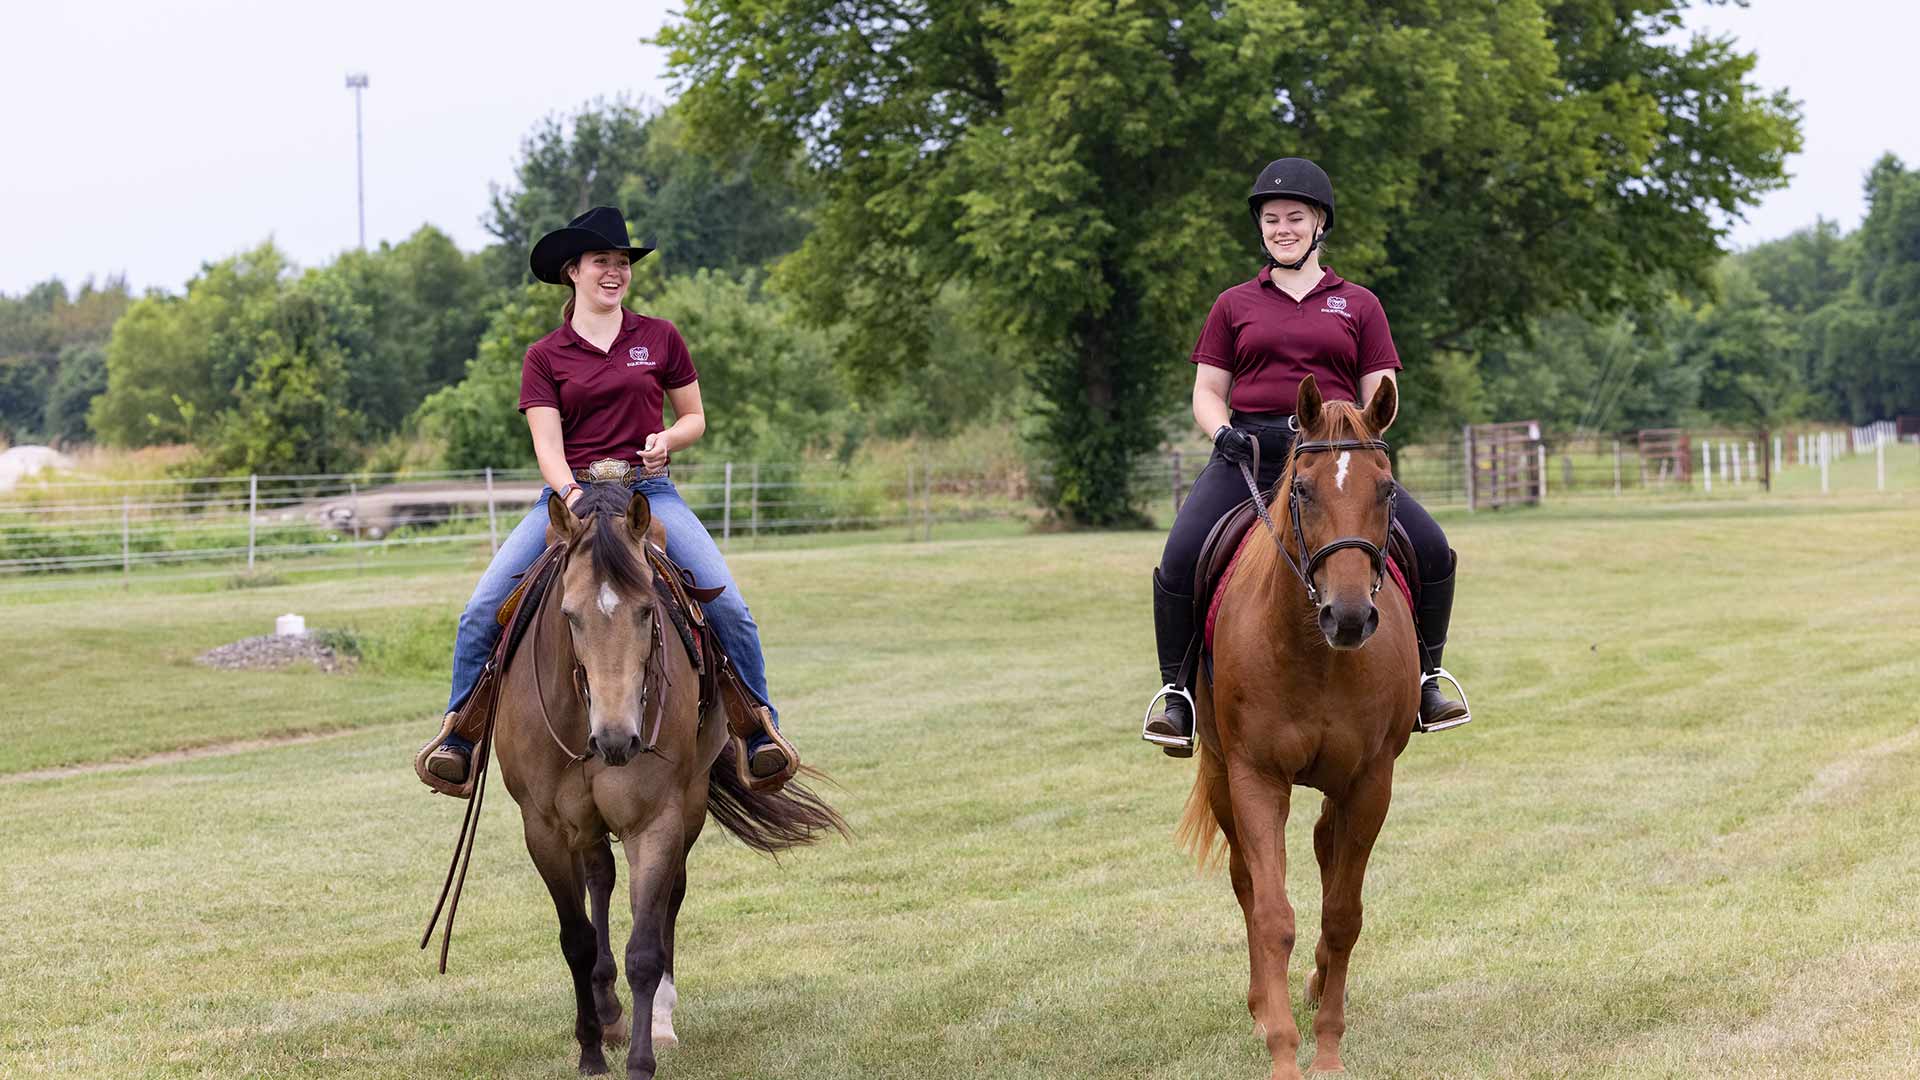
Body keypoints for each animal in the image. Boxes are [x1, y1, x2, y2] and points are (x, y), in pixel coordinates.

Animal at [447, 484, 848, 1068]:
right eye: (569, 614)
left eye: (645, 611)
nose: (616, 738)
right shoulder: (544, 827)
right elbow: (576, 937)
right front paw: (591, 1052)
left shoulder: (655, 821)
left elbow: (645, 945)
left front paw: (640, 1057)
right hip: (587, 825)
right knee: (600, 880)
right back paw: (608, 1009)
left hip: (690, 804)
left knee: (668, 901)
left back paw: (656, 1017)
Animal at [1167, 374, 1428, 1068]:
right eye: (1304, 490)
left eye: (1386, 489)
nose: (1349, 616)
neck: (1315, 650)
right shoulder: (1257, 777)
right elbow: (1272, 913)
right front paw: (1284, 1050)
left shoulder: (1369, 782)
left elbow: (1342, 914)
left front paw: (1329, 1051)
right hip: (1222, 773)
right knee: (1246, 882)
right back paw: (1264, 1007)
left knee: (1324, 851)